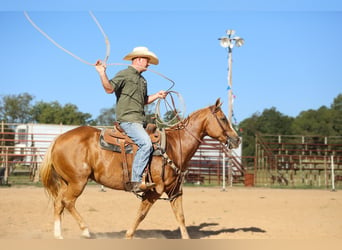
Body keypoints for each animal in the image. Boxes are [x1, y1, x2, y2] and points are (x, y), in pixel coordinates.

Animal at [40, 98, 240, 239]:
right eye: (223, 118)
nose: (237, 139)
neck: (175, 146)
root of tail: (58, 139)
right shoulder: (154, 191)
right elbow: (141, 215)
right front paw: (128, 235)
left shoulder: (175, 190)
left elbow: (180, 217)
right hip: (78, 181)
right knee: (68, 202)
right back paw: (85, 231)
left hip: (67, 182)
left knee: (59, 203)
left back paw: (58, 235)